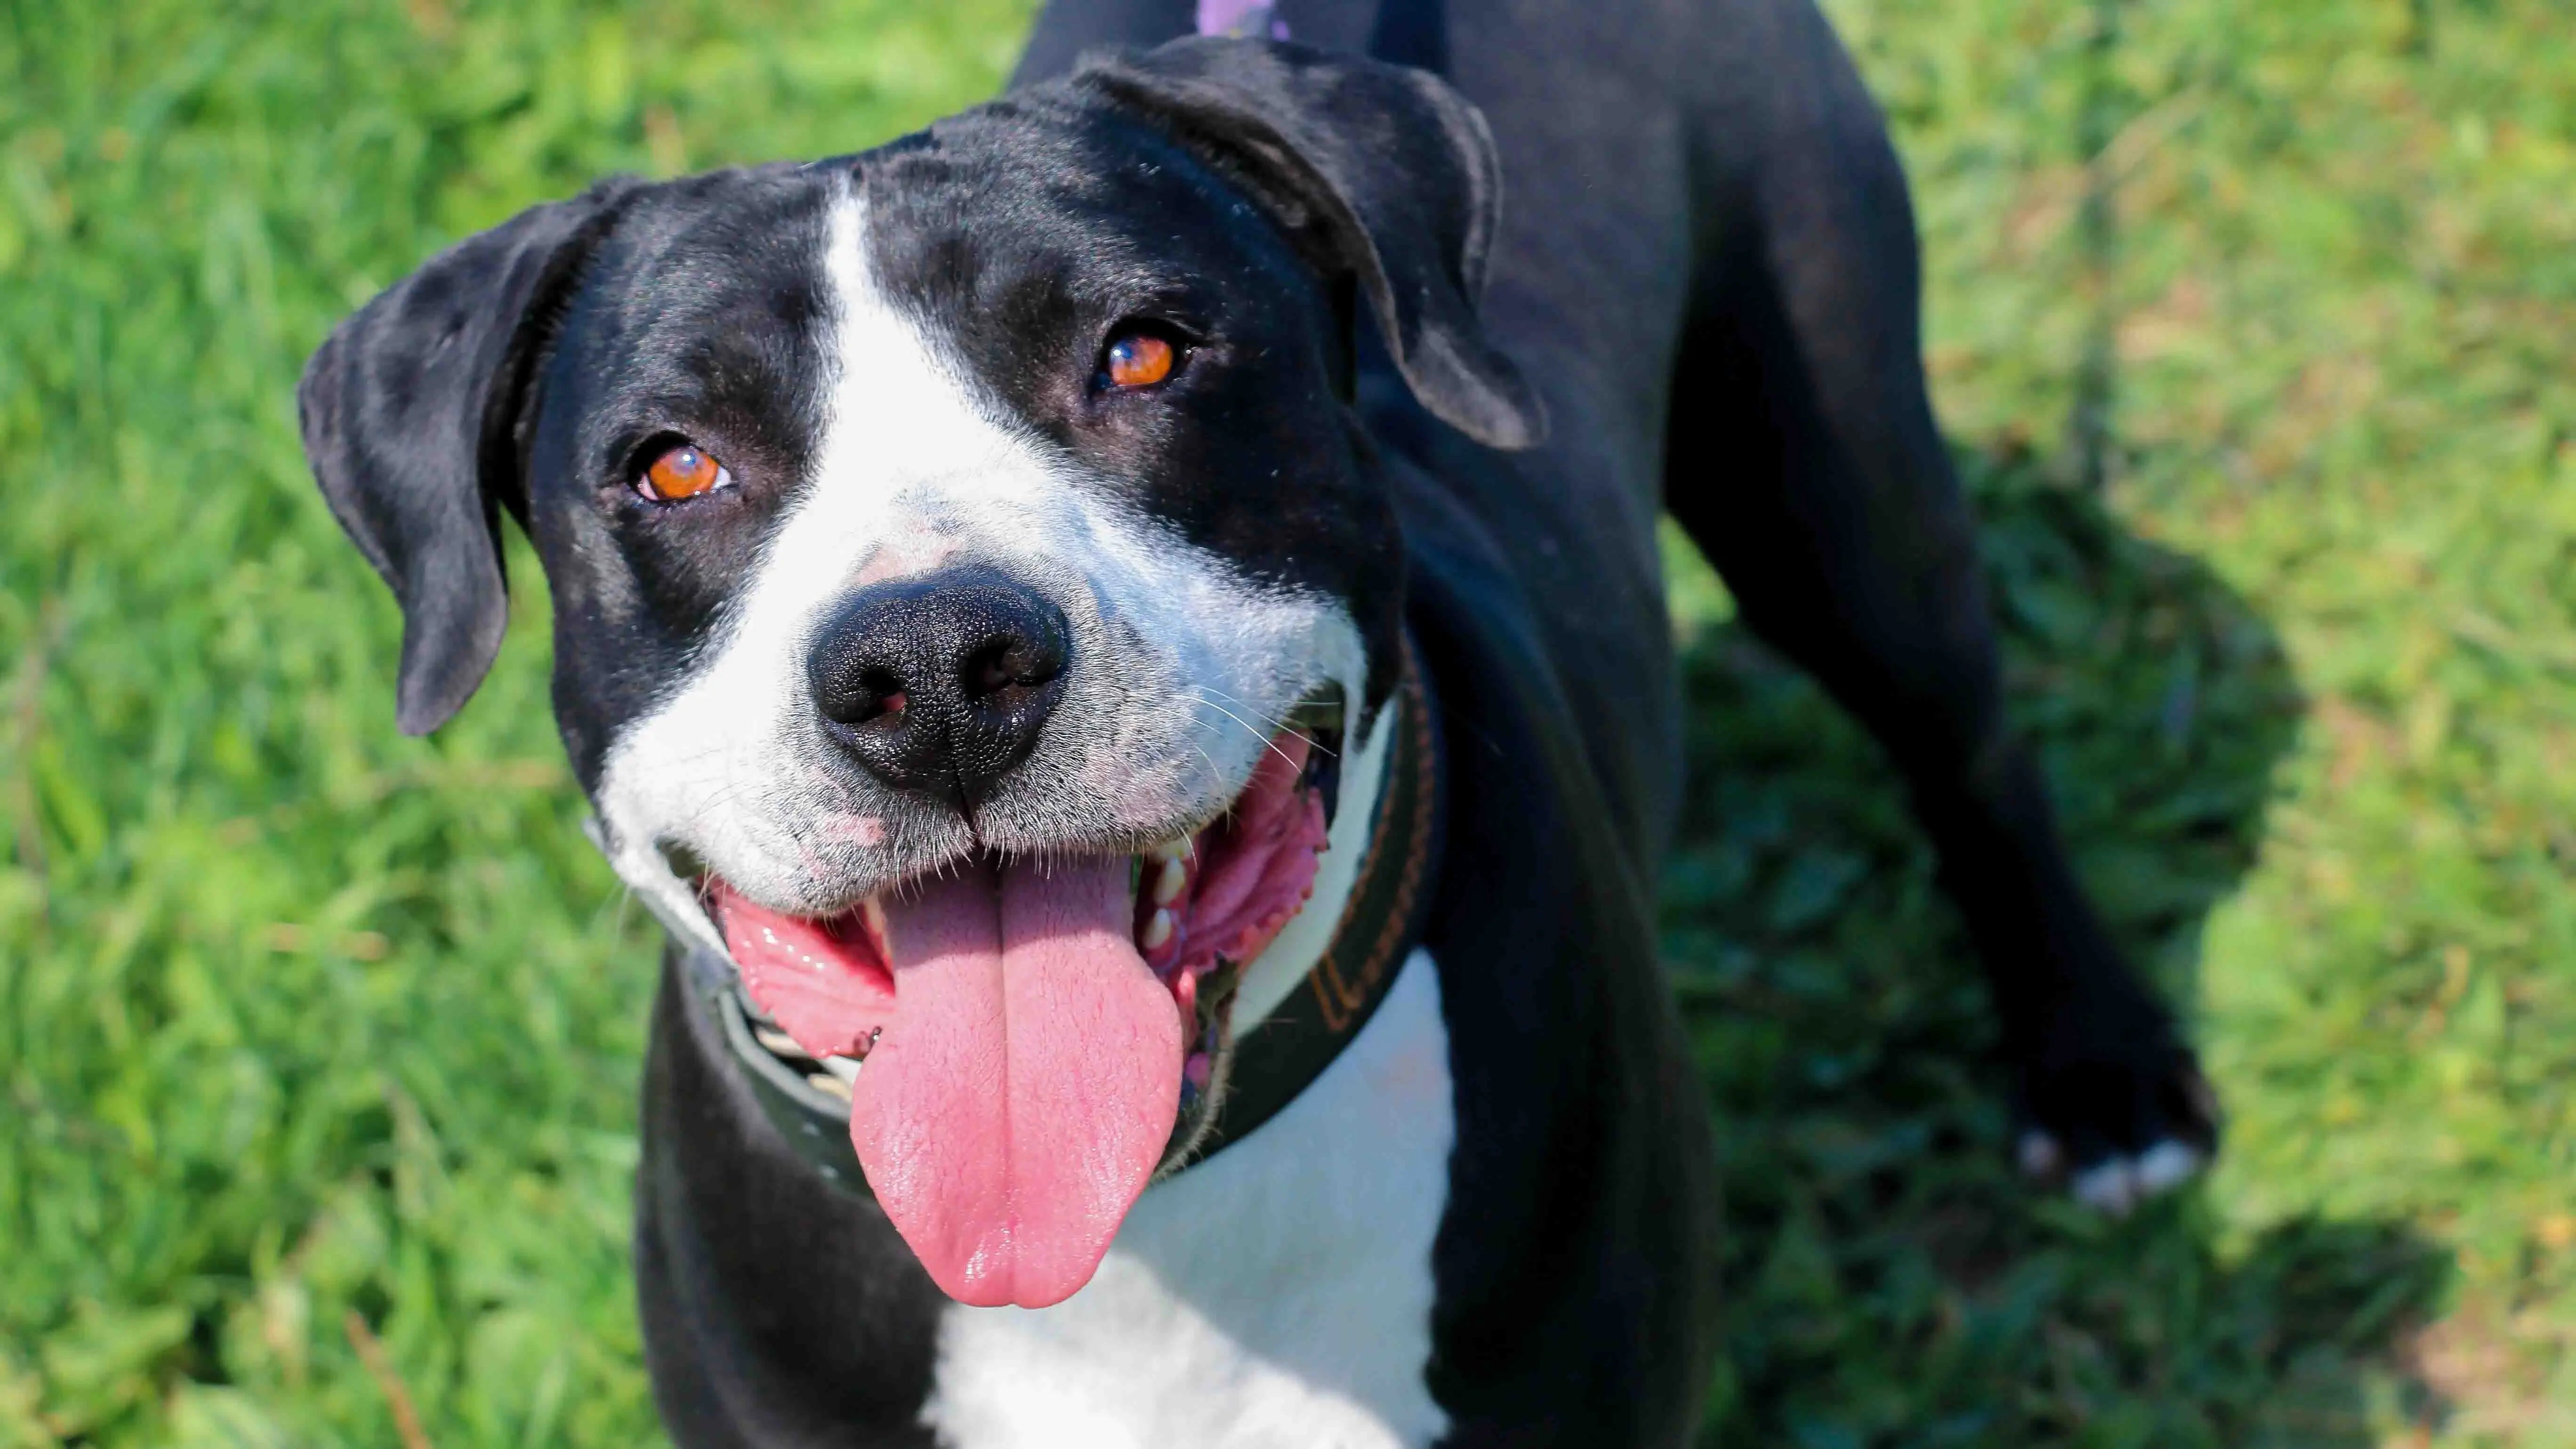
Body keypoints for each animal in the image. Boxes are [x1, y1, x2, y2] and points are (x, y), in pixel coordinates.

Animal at [296, 0, 2215, 1433]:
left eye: (1142, 353)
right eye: (675, 465)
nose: (933, 668)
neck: (1134, 1240)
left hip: (1830, 459)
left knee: (1967, 744)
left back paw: (2105, 1075)